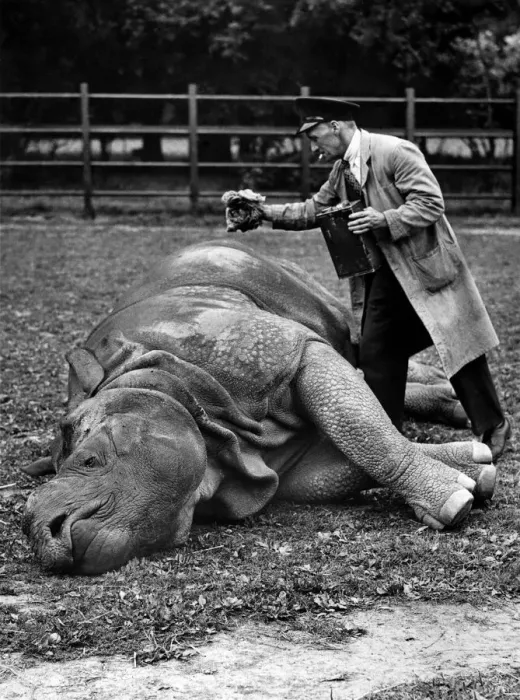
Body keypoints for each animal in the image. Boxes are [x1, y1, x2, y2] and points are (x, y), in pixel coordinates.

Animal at [22, 240, 496, 575]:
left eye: (91, 460)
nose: (41, 533)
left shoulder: (284, 351)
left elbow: (362, 428)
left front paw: (454, 501)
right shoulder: (273, 465)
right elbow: (342, 461)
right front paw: (474, 469)